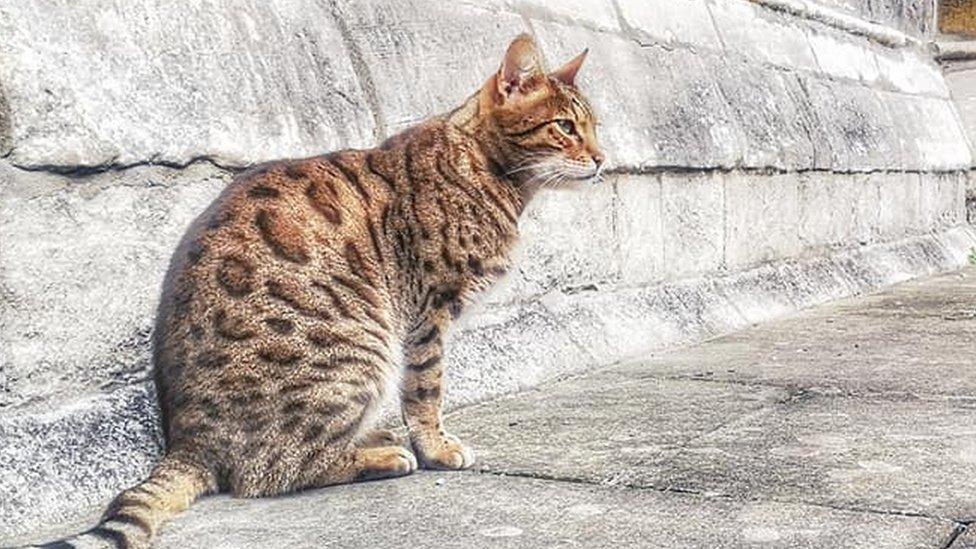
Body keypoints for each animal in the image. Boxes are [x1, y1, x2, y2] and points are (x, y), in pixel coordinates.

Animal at [43, 34, 604, 548]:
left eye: (595, 126)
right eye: (565, 126)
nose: (601, 159)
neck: (486, 169)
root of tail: (187, 441)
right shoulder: (428, 313)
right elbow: (426, 390)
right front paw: (437, 447)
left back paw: (374, 436)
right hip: (360, 348)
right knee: (272, 471)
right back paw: (382, 455)